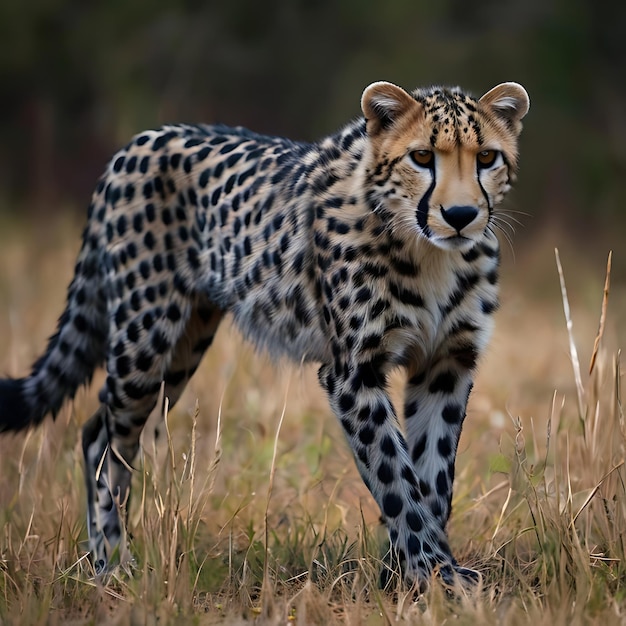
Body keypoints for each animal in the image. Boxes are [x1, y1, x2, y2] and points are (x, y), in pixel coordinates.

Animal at [0, 80, 528, 584]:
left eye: (486, 158)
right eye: (421, 157)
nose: (460, 217)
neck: (428, 252)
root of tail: (137, 141)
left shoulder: (446, 365)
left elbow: (432, 475)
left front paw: (410, 573)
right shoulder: (352, 372)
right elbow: (395, 474)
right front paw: (429, 570)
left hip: (183, 348)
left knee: (100, 430)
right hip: (144, 339)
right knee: (103, 442)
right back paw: (111, 563)